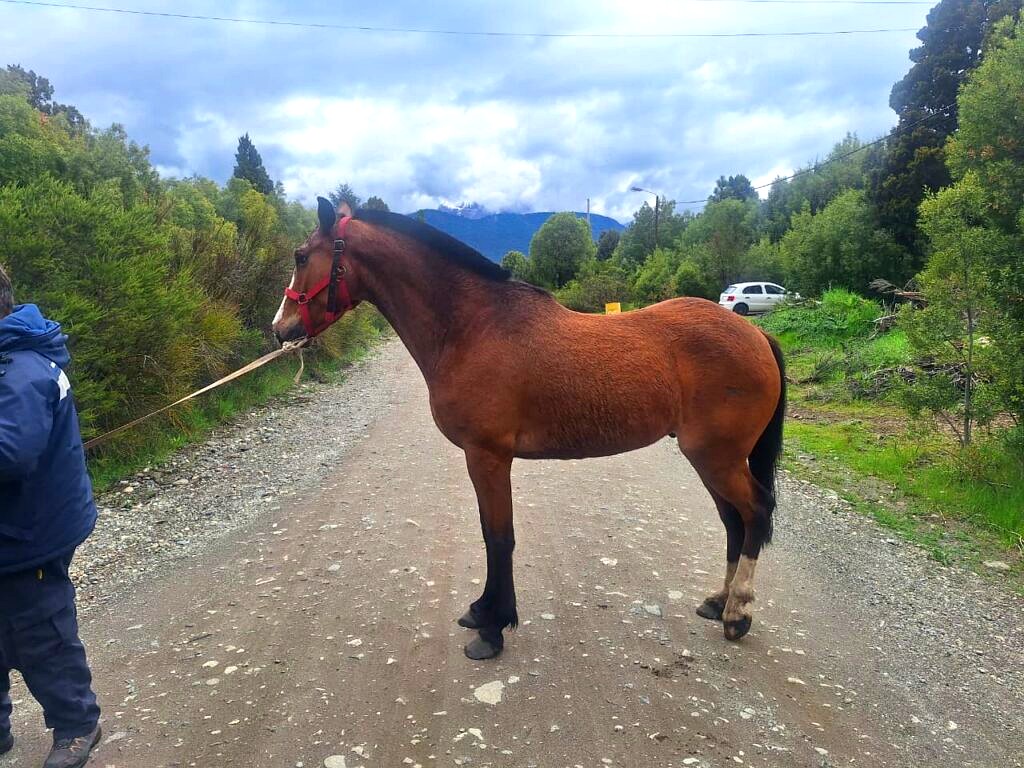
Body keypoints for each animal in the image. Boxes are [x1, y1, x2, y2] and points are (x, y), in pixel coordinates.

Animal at [272, 197, 786, 660]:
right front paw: (483, 611)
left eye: (301, 256)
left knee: (755, 512)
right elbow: (491, 533)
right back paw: (718, 602)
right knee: (734, 522)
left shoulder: (487, 456)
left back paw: (737, 614)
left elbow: (499, 537)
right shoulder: (484, 458)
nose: (280, 329)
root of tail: (757, 334)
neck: (472, 327)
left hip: (717, 457)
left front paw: (493, 628)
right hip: (711, 459)